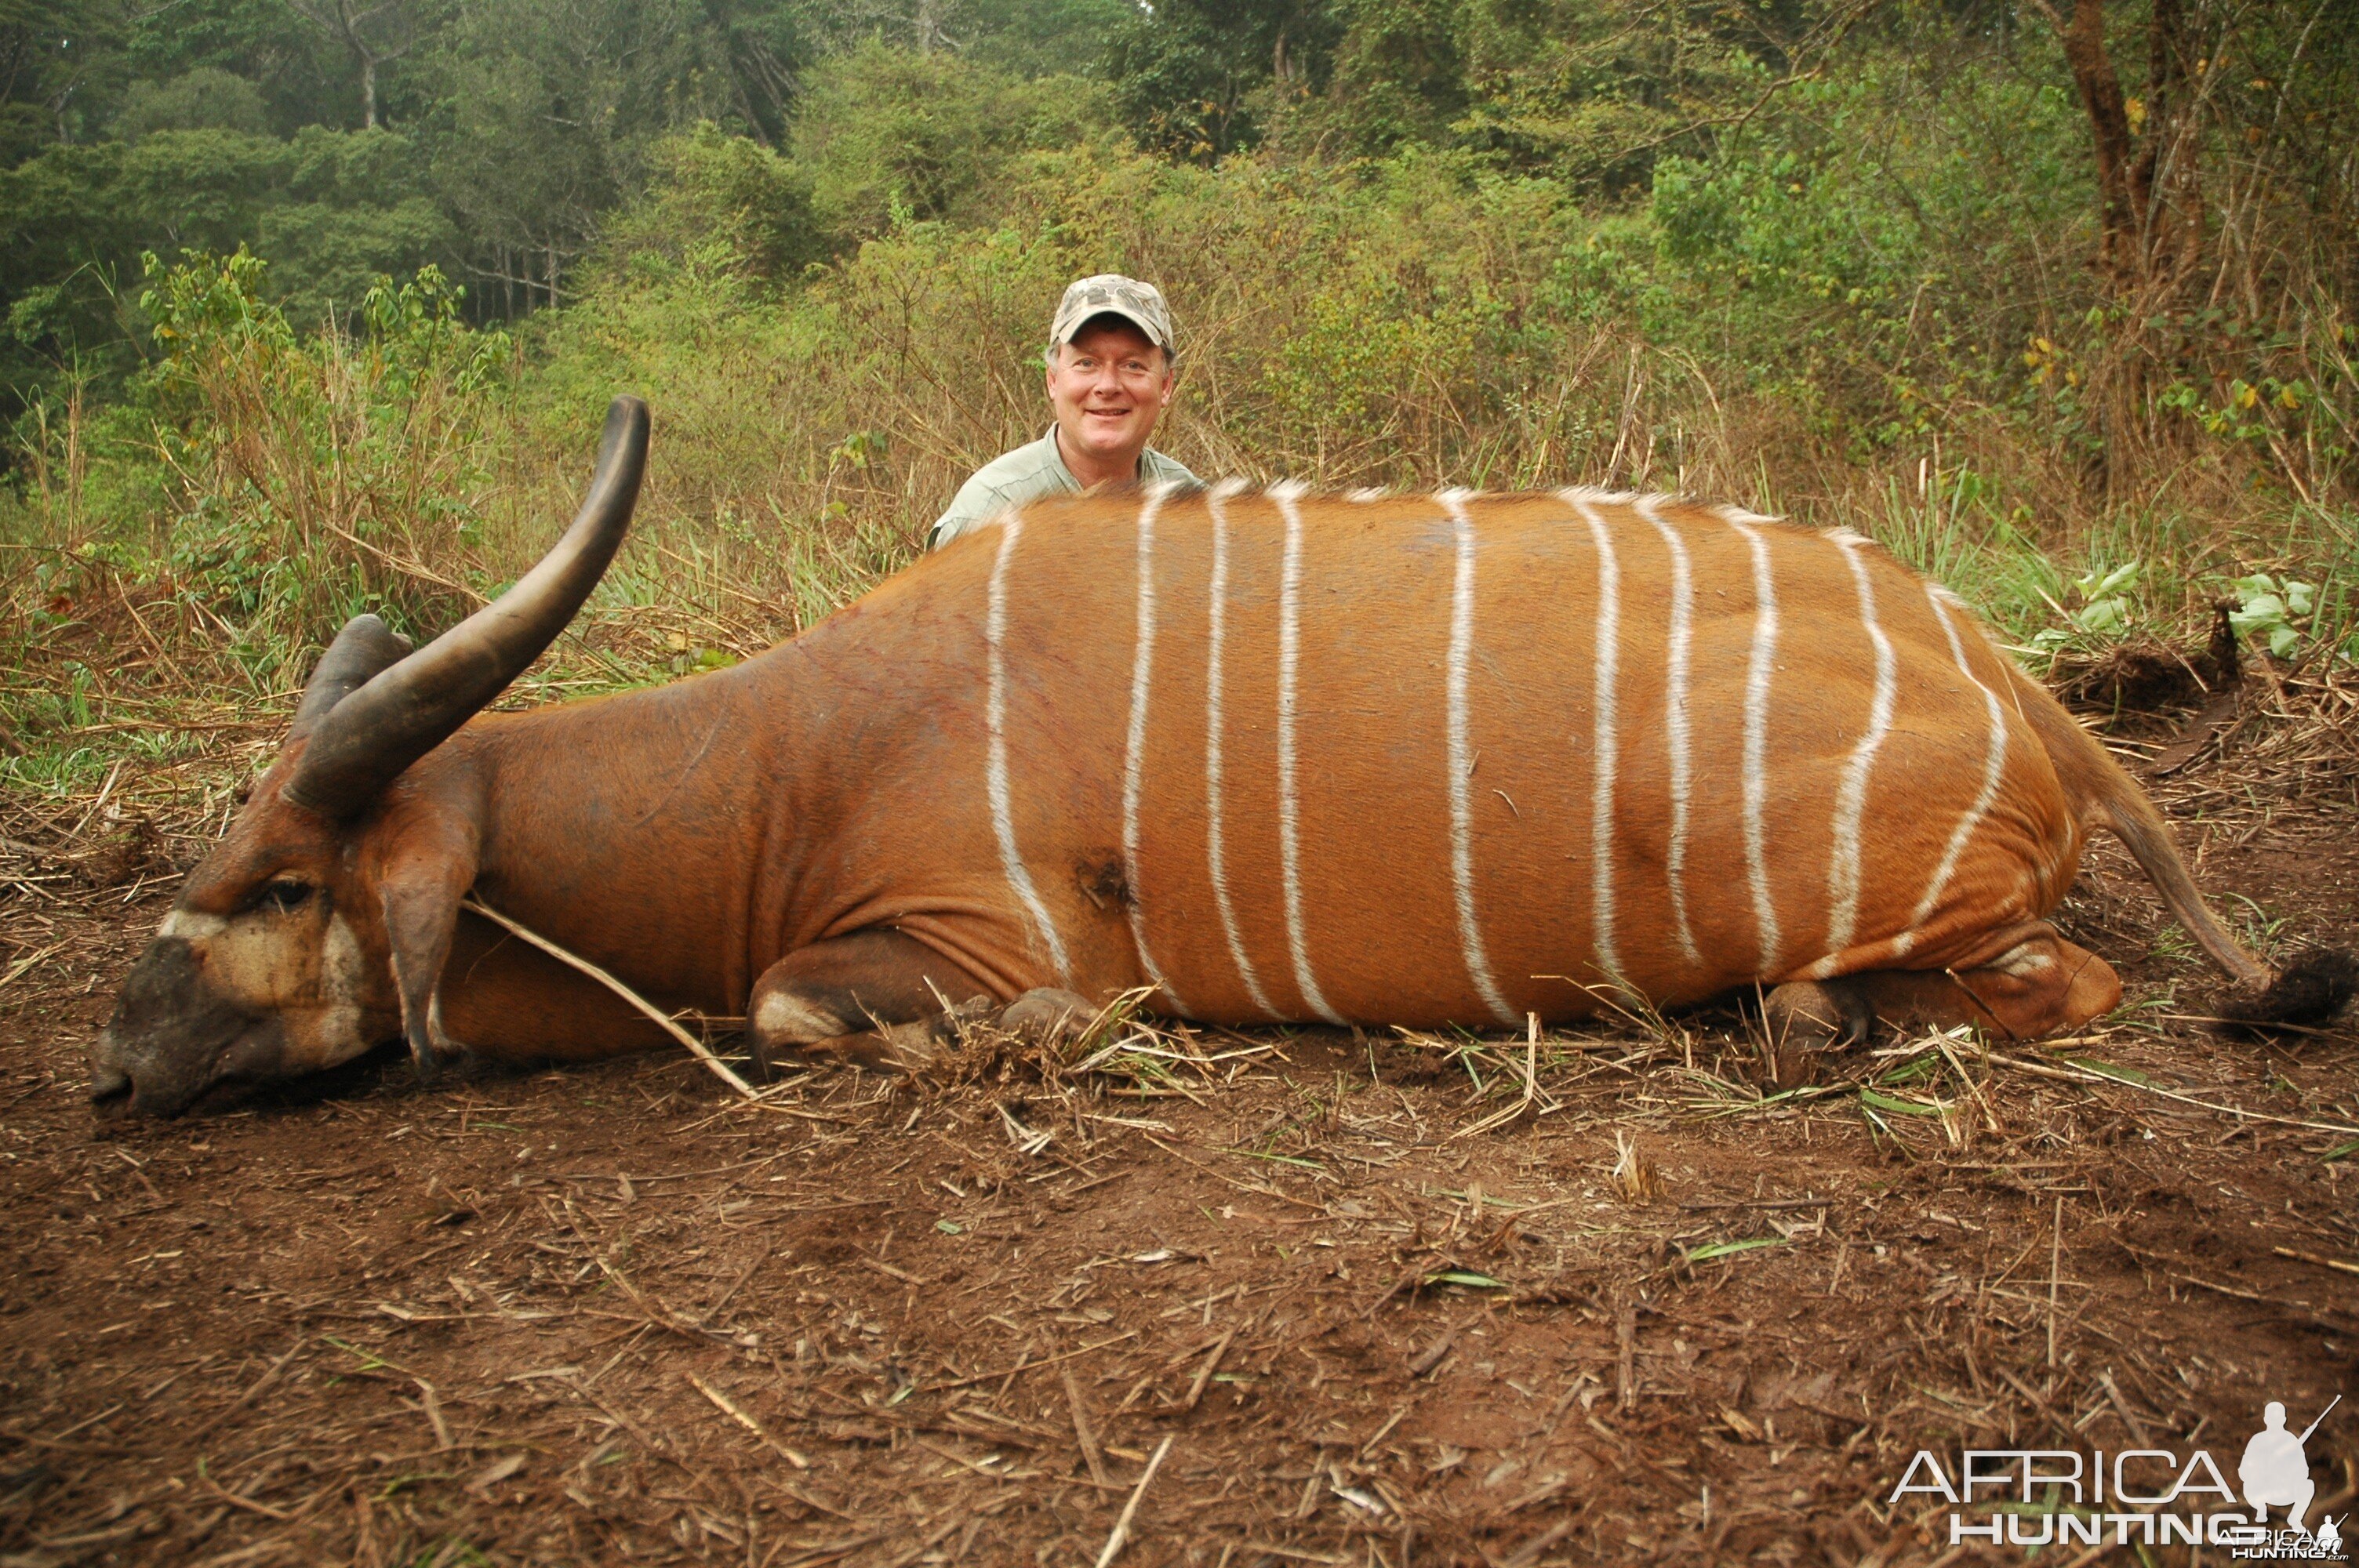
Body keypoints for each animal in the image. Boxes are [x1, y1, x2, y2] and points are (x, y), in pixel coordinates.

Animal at [87, 398, 2339, 1117]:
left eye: (284, 884)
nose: (110, 1069)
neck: (783, 763)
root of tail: (2025, 693)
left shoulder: (975, 941)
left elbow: (812, 1010)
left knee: (2066, 977)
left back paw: (1824, 1023)